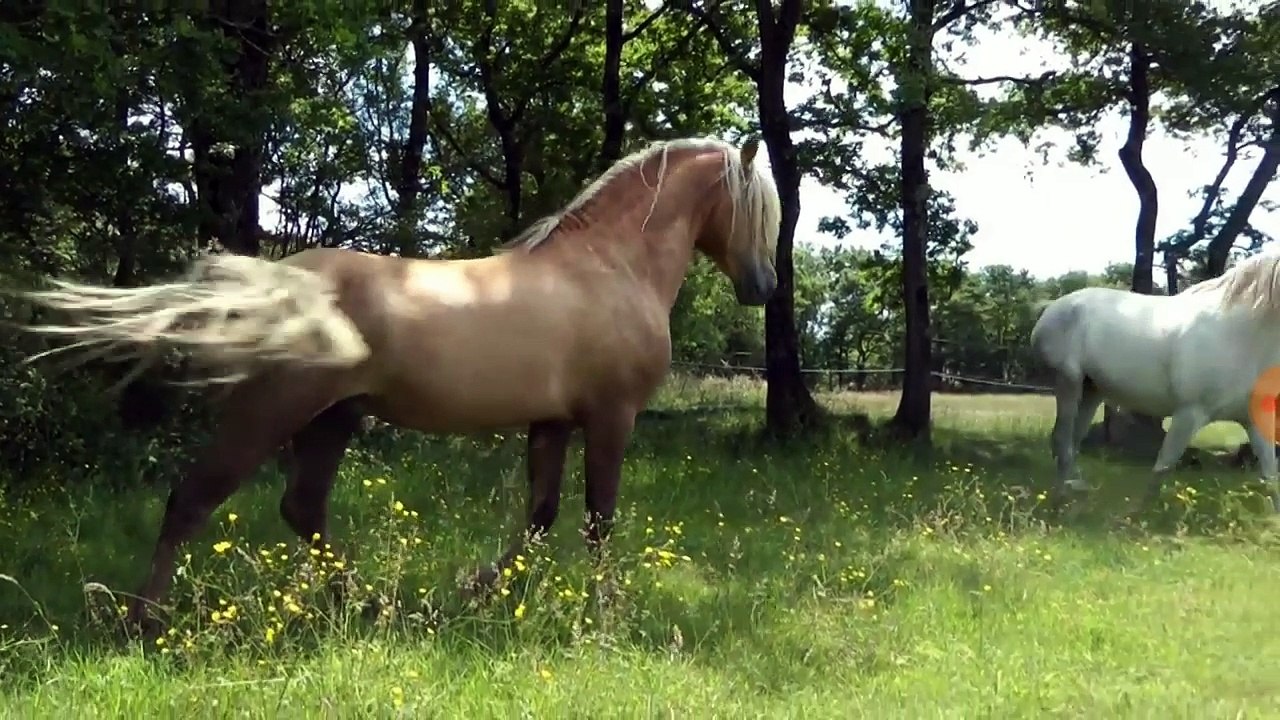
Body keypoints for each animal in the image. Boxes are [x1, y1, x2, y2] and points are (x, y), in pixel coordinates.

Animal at [18, 135, 781, 632]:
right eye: (759, 209)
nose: (765, 287)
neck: (609, 267)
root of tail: (276, 281)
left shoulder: (553, 422)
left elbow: (538, 520)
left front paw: (478, 597)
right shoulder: (610, 417)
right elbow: (597, 521)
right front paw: (607, 617)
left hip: (333, 418)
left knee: (302, 508)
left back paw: (364, 607)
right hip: (272, 411)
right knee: (193, 500)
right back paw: (141, 623)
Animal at [1029, 251, 1280, 515]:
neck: (1239, 336)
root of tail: (1052, 308)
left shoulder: (1254, 420)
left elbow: (1270, 475)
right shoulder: (1189, 414)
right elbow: (1163, 467)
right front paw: (1140, 516)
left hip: (1091, 392)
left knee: (1072, 443)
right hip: (1068, 383)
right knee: (1062, 442)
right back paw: (1059, 504)